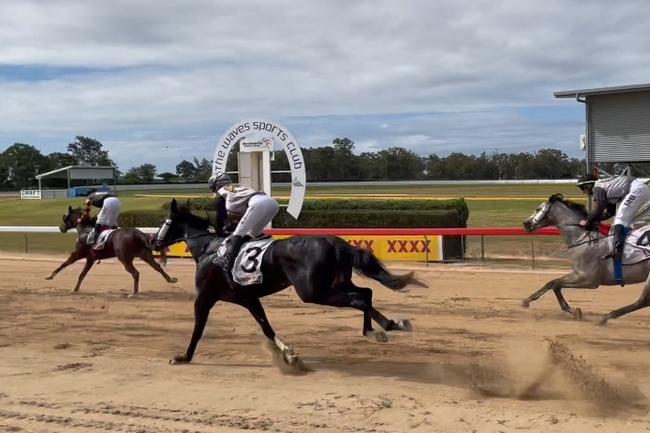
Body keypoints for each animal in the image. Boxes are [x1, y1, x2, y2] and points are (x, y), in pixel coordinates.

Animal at [45, 205, 177, 294]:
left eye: (65, 217)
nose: (61, 228)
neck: (85, 230)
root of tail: (138, 233)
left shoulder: (78, 254)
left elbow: (64, 264)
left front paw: (49, 276)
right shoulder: (91, 258)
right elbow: (82, 274)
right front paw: (75, 288)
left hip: (124, 258)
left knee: (135, 273)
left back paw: (134, 293)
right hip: (145, 255)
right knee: (157, 267)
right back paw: (170, 279)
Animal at [520, 193, 648, 324]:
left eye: (538, 209)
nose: (526, 223)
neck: (584, 240)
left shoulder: (589, 280)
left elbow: (556, 284)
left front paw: (572, 310)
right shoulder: (577, 274)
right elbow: (552, 283)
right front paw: (527, 300)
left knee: (642, 301)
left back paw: (605, 317)